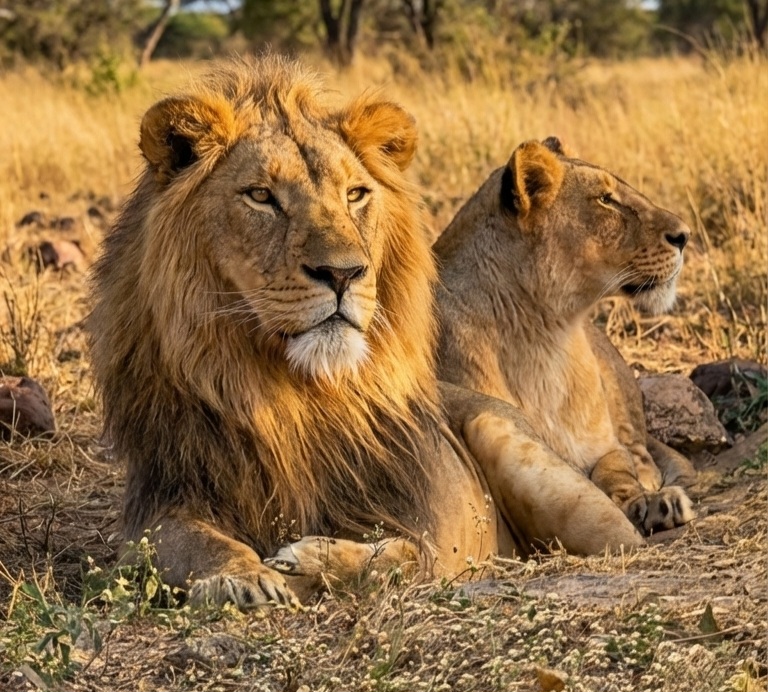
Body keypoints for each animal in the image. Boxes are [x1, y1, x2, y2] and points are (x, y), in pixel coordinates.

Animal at [89, 58, 648, 609]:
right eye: (261, 197)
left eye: (355, 194)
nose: (342, 273)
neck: (294, 398)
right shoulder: (164, 497)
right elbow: (187, 543)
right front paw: (239, 578)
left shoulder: (428, 526)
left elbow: (402, 557)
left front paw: (308, 562)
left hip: (530, 462)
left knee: (620, 540)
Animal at [434, 136, 698, 540]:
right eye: (606, 199)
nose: (684, 235)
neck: (544, 334)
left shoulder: (605, 446)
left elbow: (615, 468)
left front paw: (648, 501)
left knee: (643, 454)